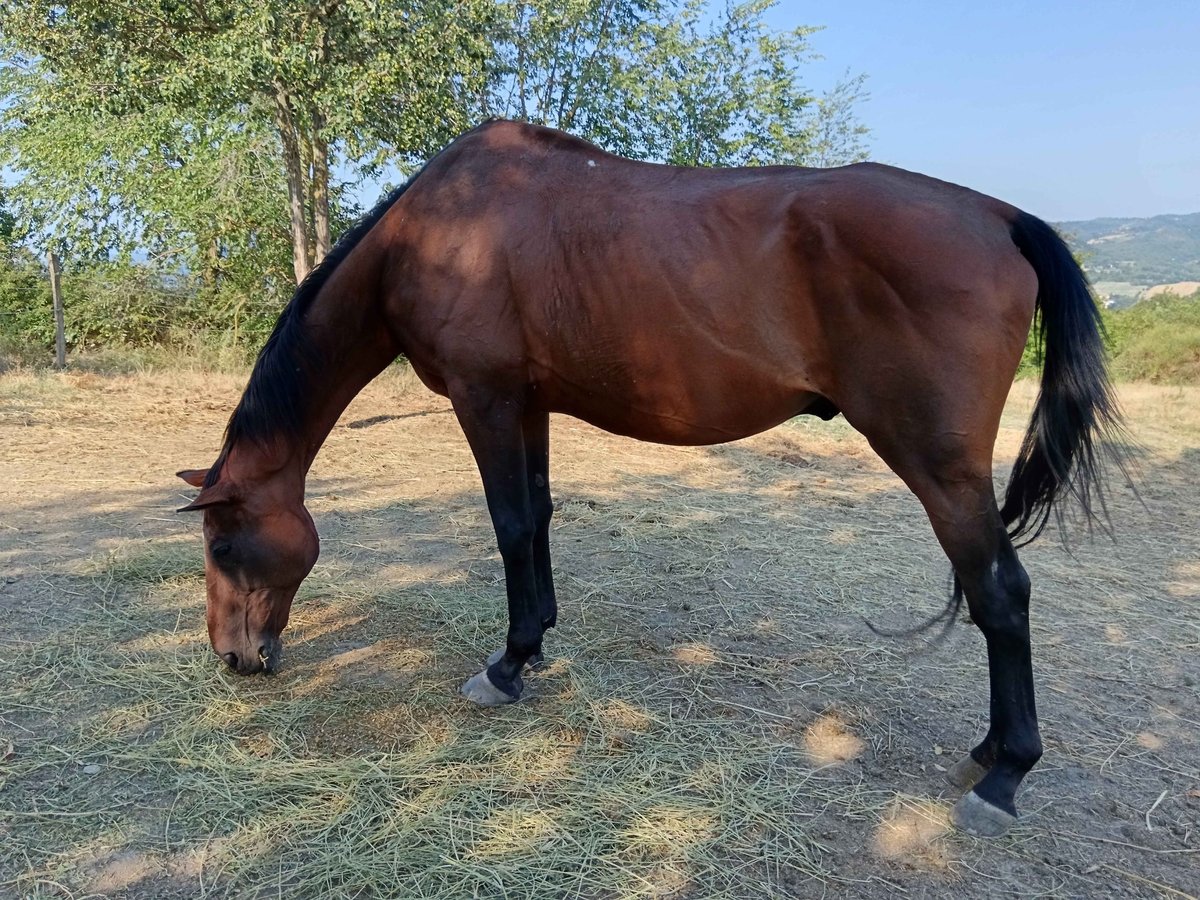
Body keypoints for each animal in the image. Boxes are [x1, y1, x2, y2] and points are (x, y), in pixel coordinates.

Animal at [177, 118, 1123, 840]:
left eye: (223, 545)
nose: (234, 658)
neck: (439, 233)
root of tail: (999, 215)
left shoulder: (486, 400)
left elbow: (509, 524)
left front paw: (506, 666)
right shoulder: (528, 405)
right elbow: (540, 517)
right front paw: (537, 643)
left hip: (941, 467)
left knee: (1000, 591)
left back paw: (1005, 774)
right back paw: (991, 754)